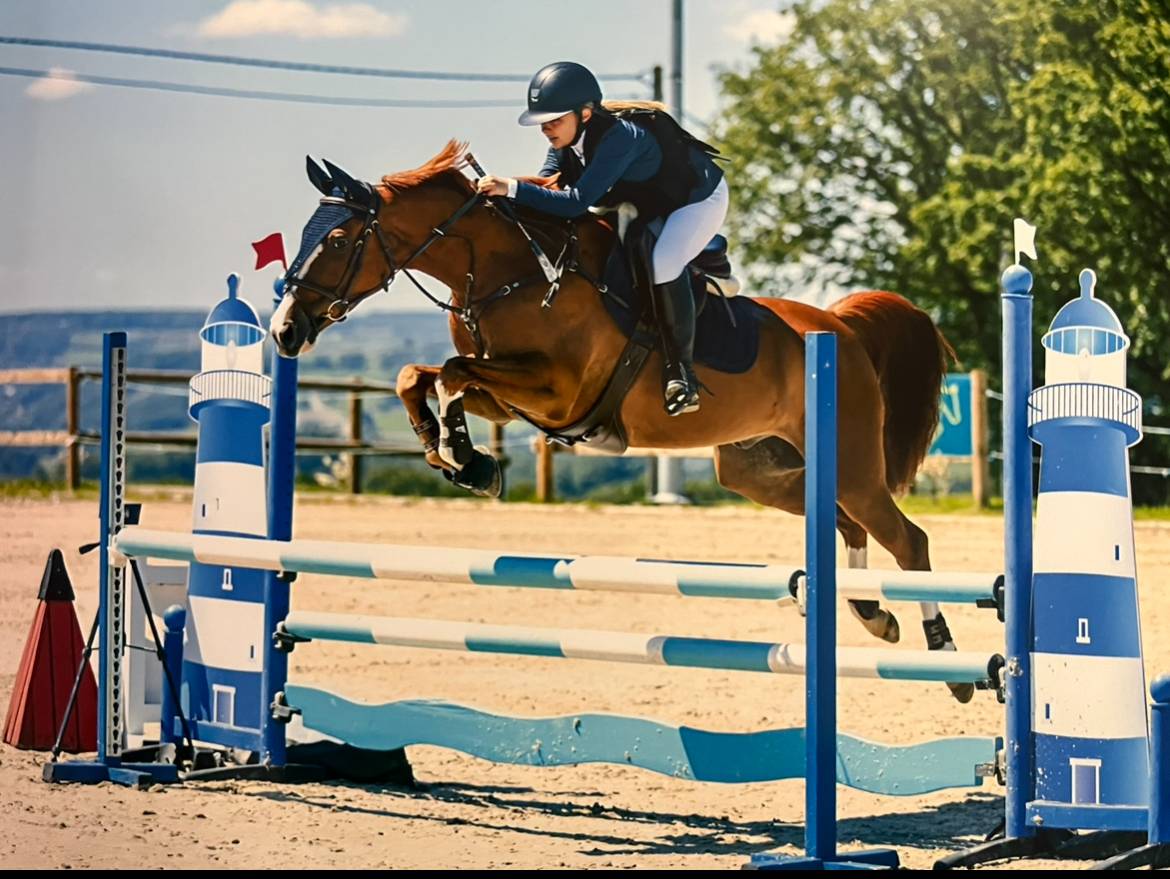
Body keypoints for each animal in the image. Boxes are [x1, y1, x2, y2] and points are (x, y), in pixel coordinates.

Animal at [270, 141, 972, 702]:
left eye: (337, 241)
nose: (283, 331)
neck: (508, 273)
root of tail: (839, 326)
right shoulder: (516, 399)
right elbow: (417, 375)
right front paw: (459, 457)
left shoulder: (557, 393)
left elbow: (450, 372)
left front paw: (466, 457)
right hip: (759, 469)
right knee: (846, 523)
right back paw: (873, 613)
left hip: (851, 462)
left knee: (907, 540)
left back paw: (947, 658)